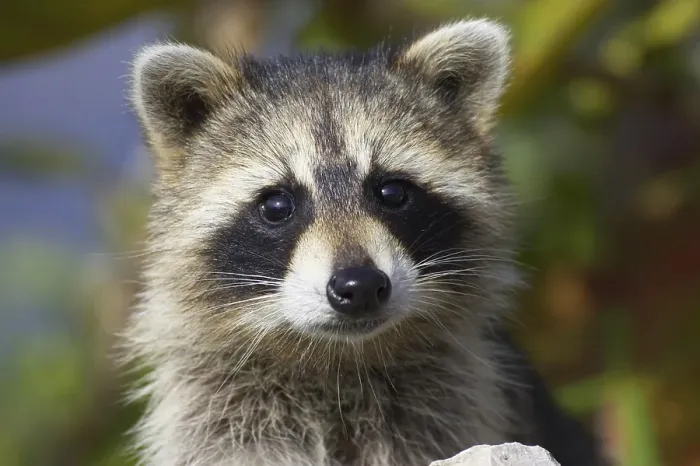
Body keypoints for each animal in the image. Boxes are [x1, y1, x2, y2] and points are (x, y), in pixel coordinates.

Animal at [124, 19, 606, 466]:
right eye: (277, 205)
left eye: (391, 192)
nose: (359, 286)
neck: (338, 360)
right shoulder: (219, 409)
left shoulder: (455, 399)